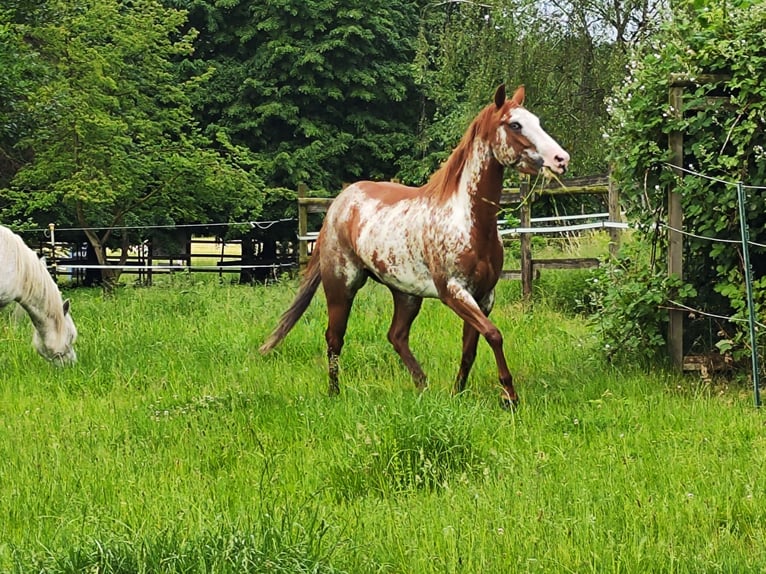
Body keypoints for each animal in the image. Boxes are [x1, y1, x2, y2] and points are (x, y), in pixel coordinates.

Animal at [264, 86, 568, 410]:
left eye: (537, 121)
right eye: (515, 125)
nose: (561, 159)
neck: (468, 221)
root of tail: (339, 203)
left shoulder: (484, 295)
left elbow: (471, 346)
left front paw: (457, 393)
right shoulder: (453, 292)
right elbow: (494, 334)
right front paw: (509, 396)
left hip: (406, 294)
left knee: (396, 336)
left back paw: (422, 385)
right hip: (341, 287)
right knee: (334, 338)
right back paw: (335, 394)